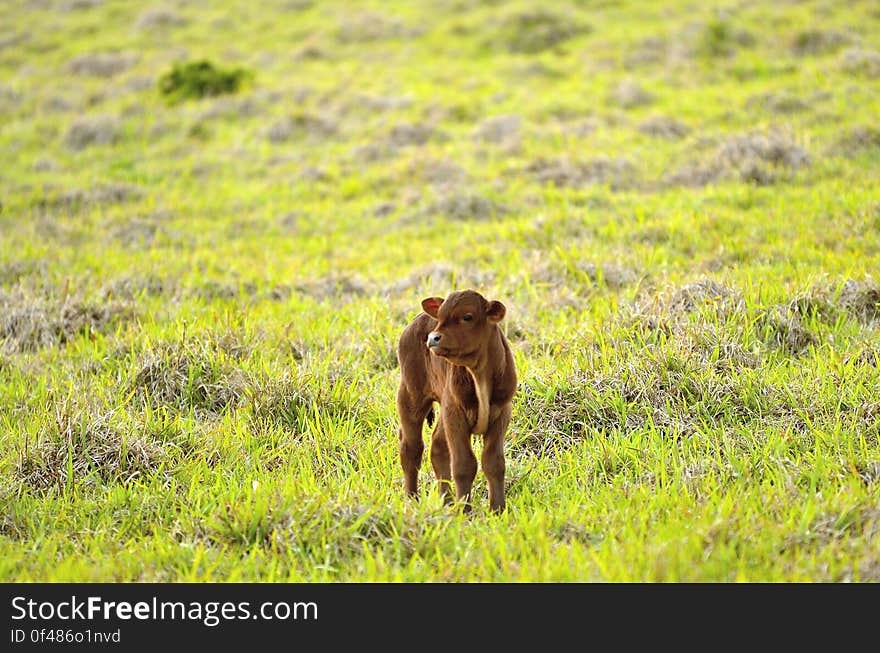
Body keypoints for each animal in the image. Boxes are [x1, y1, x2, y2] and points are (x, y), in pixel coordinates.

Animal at [398, 290, 516, 510]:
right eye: (440, 316)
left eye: (467, 317)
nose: (433, 337)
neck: (479, 374)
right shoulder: (456, 413)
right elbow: (464, 465)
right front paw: (465, 511)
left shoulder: (501, 413)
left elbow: (494, 462)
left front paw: (497, 509)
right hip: (410, 395)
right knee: (411, 448)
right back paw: (412, 499)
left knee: (437, 447)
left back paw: (446, 501)